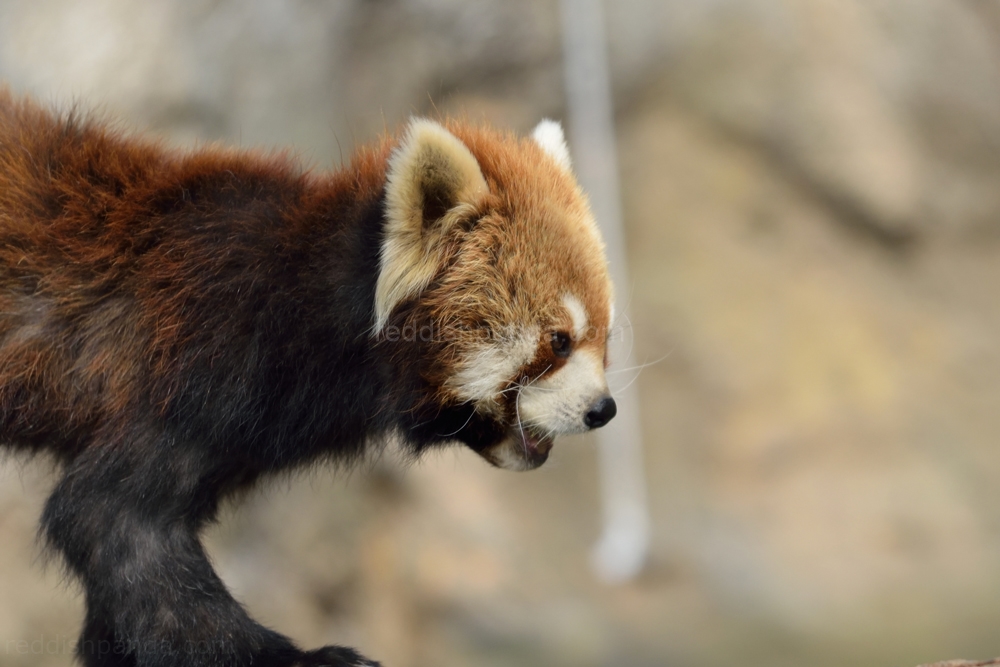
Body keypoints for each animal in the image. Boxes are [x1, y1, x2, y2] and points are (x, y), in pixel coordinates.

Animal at [0, 90, 616, 667]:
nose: (602, 409)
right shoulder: (195, 366)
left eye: (605, 337)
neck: (307, 305)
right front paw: (306, 658)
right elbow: (108, 516)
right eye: (558, 342)